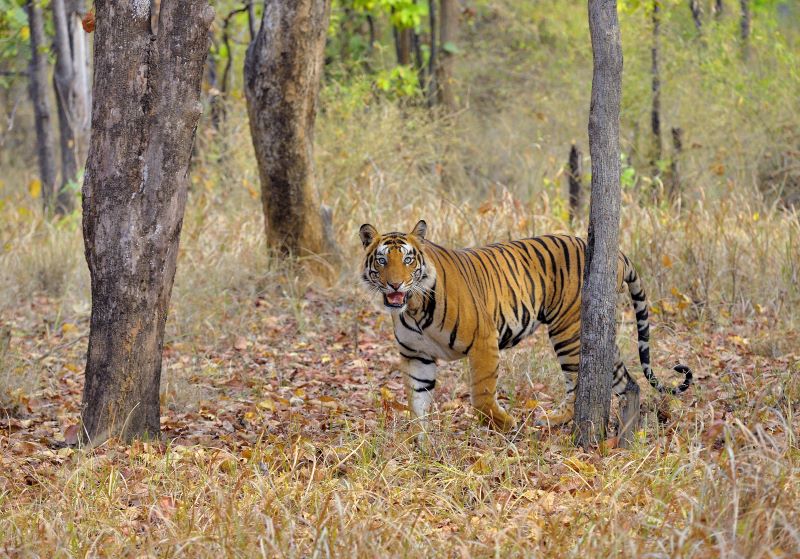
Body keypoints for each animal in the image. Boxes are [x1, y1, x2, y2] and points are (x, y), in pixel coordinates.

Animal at [360, 221, 692, 440]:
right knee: (627, 381)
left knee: (576, 384)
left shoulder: (484, 341)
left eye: (408, 259)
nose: (395, 284)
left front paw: (508, 425)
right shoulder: (416, 356)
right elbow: (417, 402)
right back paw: (628, 430)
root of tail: (617, 254)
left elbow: (481, 398)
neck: (413, 307)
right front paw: (421, 443)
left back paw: (552, 421)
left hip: (568, 331)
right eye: (382, 260)